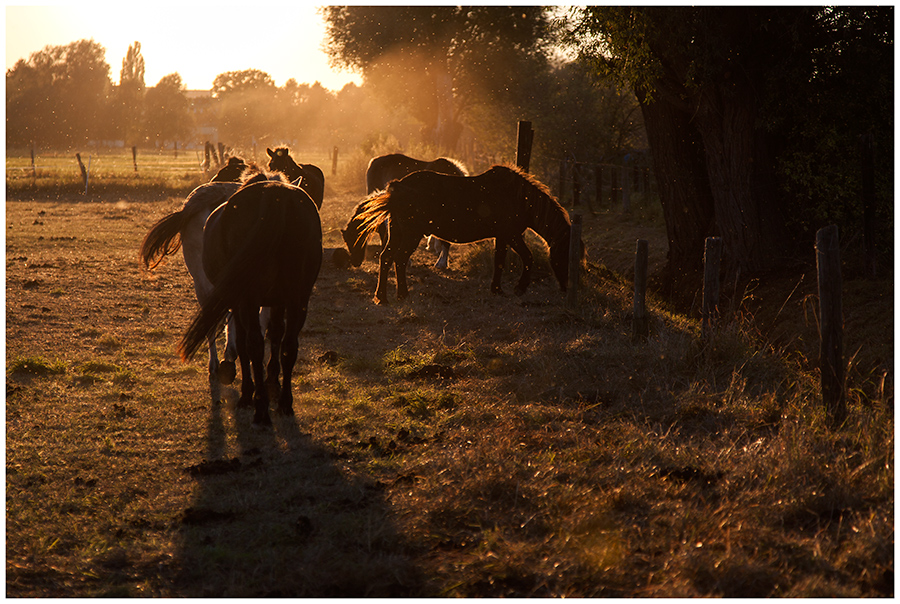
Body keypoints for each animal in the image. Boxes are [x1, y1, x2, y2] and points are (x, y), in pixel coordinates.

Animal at [178, 170, 322, 424]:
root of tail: (275, 197)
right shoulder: (278, 301)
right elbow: (275, 334)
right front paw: (271, 380)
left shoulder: (240, 300)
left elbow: (244, 342)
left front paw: (248, 390)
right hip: (298, 297)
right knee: (289, 344)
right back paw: (284, 403)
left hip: (243, 296)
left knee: (251, 342)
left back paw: (258, 405)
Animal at [354, 164, 576, 304]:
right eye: (566, 252)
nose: (566, 286)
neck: (518, 197)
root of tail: (398, 186)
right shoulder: (512, 235)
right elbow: (528, 257)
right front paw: (519, 288)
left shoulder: (503, 237)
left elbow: (500, 261)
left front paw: (497, 289)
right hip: (411, 235)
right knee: (399, 259)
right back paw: (402, 295)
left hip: (397, 233)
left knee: (386, 258)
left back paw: (382, 298)